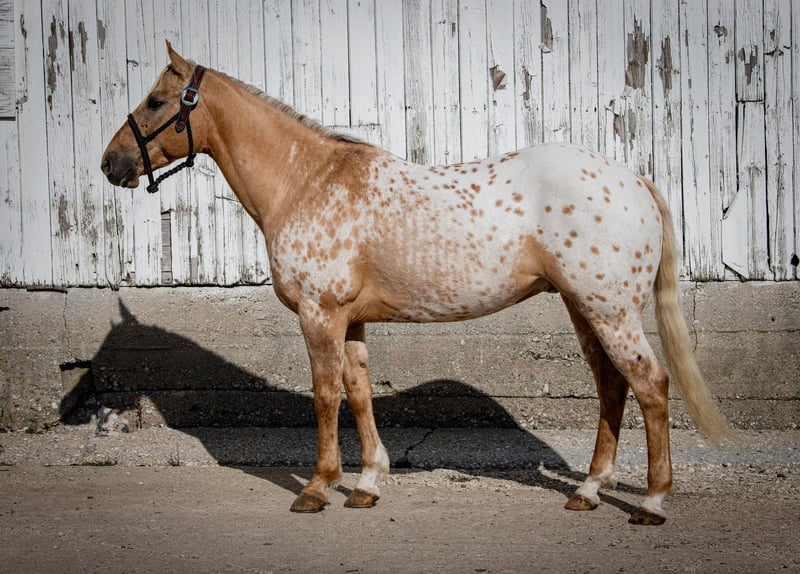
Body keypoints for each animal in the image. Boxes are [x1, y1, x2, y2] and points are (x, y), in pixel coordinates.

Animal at [101, 42, 732, 528]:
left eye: (157, 101)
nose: (111, 163)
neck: (306, 179)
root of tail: (632, 178)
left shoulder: (319, 314)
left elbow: (326, 396)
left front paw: (316, 488)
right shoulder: (350, 320)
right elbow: (357, 394)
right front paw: (366, 484)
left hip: (609, 310)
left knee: (650, 385)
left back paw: (651, 502)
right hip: (585, 309)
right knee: (612, 387)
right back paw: (589, 491)